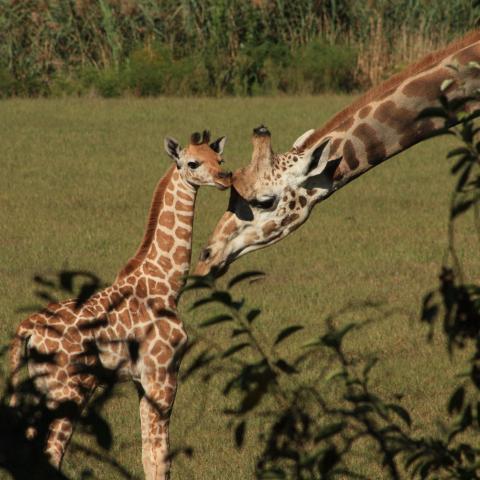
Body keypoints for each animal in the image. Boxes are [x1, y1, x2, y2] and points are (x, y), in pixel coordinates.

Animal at [9, 129, 231, 478]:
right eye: (193, 163)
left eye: (219, 158)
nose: (226, 177)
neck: (166, 284)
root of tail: (26, 329)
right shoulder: (162, 374)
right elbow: (160, 456)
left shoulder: (143, 381)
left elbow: (148, 455)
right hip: (70, 389)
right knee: (52, 453)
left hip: (40, 386)